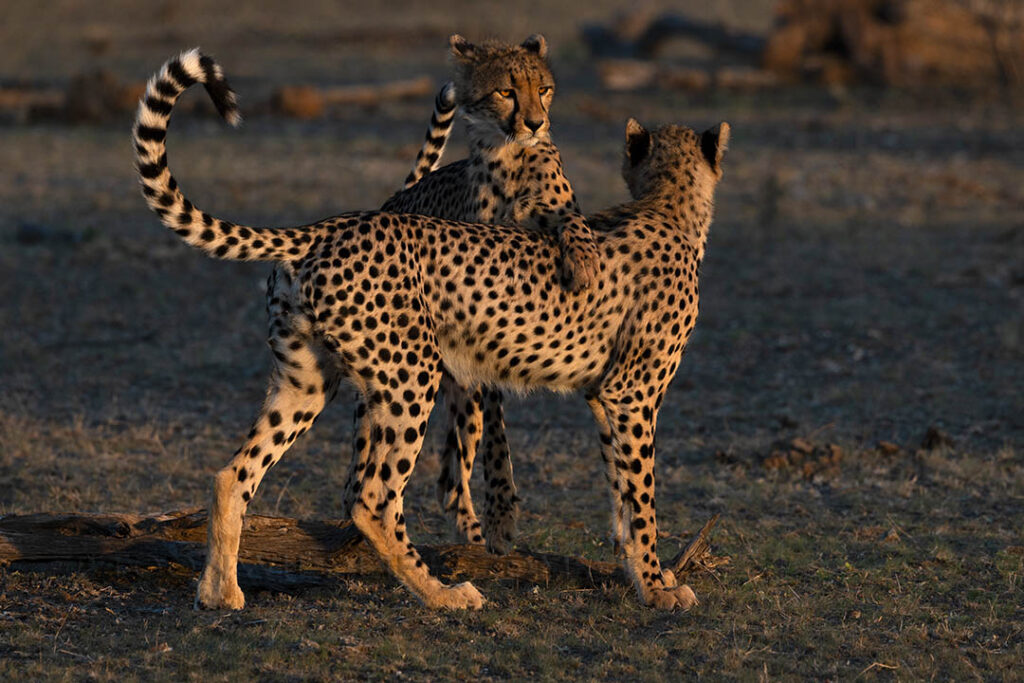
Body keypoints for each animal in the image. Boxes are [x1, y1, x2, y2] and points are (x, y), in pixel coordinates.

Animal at [133, 48, 729, 610]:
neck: (669, 208)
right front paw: (657, 587)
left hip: (306, 381)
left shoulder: (607, 397)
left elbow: (622, 497)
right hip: (410, 375)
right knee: (371, 498)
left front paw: (646, 575)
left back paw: (218, 591)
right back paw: (443, 594)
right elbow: (642, 497)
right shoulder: (630, 395)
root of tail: (327, 226)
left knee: (233, 475)